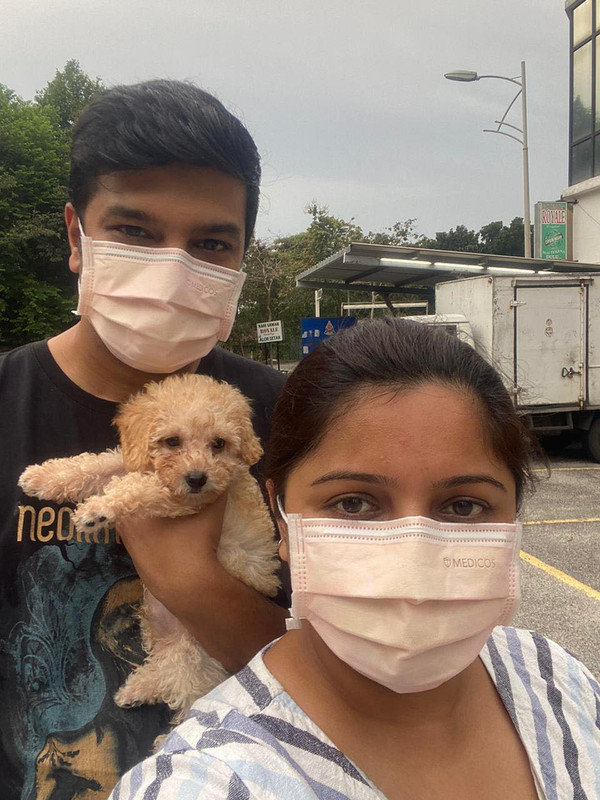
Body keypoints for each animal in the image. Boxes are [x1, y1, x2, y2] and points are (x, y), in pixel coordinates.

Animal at [18, 376, 282, 724]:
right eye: (172, 441)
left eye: (219, 443)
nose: (197, 478)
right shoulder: (127, 462)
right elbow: (93, 464)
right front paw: (41, 476)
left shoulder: (185, 500)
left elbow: (142, 489)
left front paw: (98, 510)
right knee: (164, 672)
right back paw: (134, 690)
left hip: (193, 650)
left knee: (187, 692)